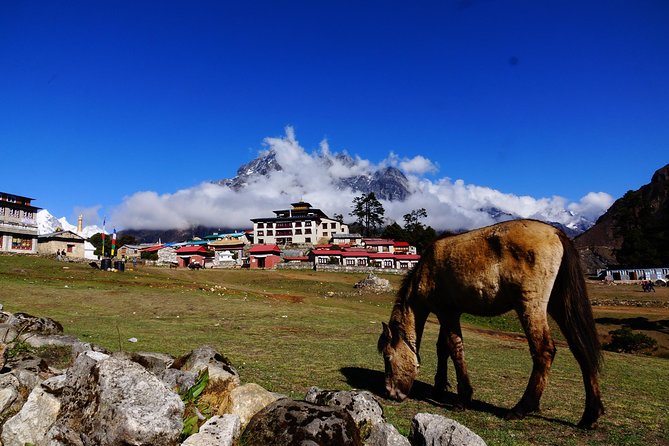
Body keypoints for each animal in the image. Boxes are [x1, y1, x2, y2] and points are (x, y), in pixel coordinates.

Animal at [378, 220, 604, 428]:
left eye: (388, 357)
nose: (390, 392)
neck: (426, 268)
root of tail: (556, 233)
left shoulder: (447, 312)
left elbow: (454, 348)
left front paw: (463, 398)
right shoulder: (448, 314)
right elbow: (442, 348)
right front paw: (439, 387)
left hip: (530, 304)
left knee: (544, 351)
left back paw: (522, 408)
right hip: (560, 305)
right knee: (581, 350)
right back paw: (590, 414)